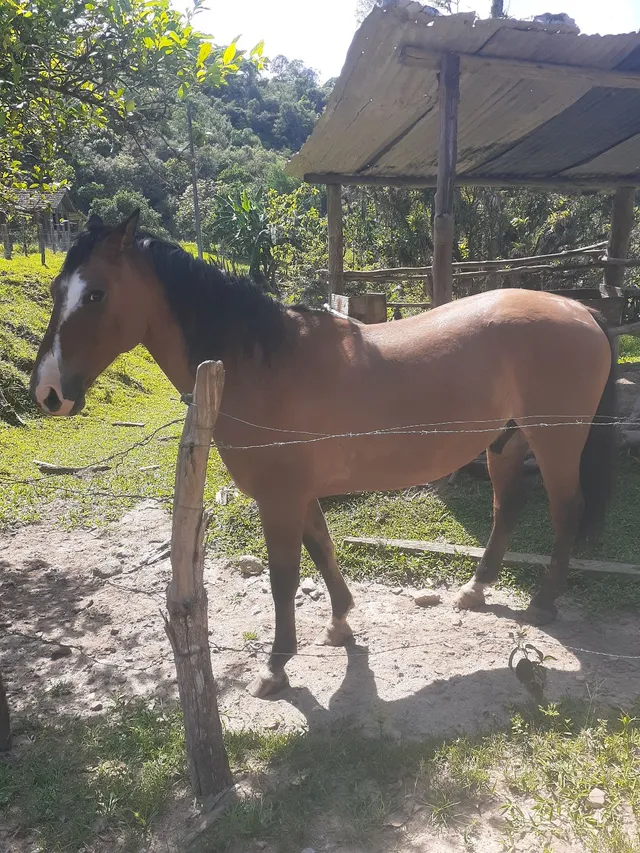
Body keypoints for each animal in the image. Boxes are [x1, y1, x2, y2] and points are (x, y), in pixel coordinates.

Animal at [30, 211, 616, 698]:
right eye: (59, 288)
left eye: (96, 295)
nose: (47, 392)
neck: (260, 365)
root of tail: (579, 307)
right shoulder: (297, 494)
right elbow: (324, 549)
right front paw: (340, 622)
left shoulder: (279, 499)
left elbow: (284, 577)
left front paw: (276, 666)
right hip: (506, 442)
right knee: (507, 507)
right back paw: (476, 589)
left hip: (555, 442)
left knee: (566, 510)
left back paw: (543, 602)